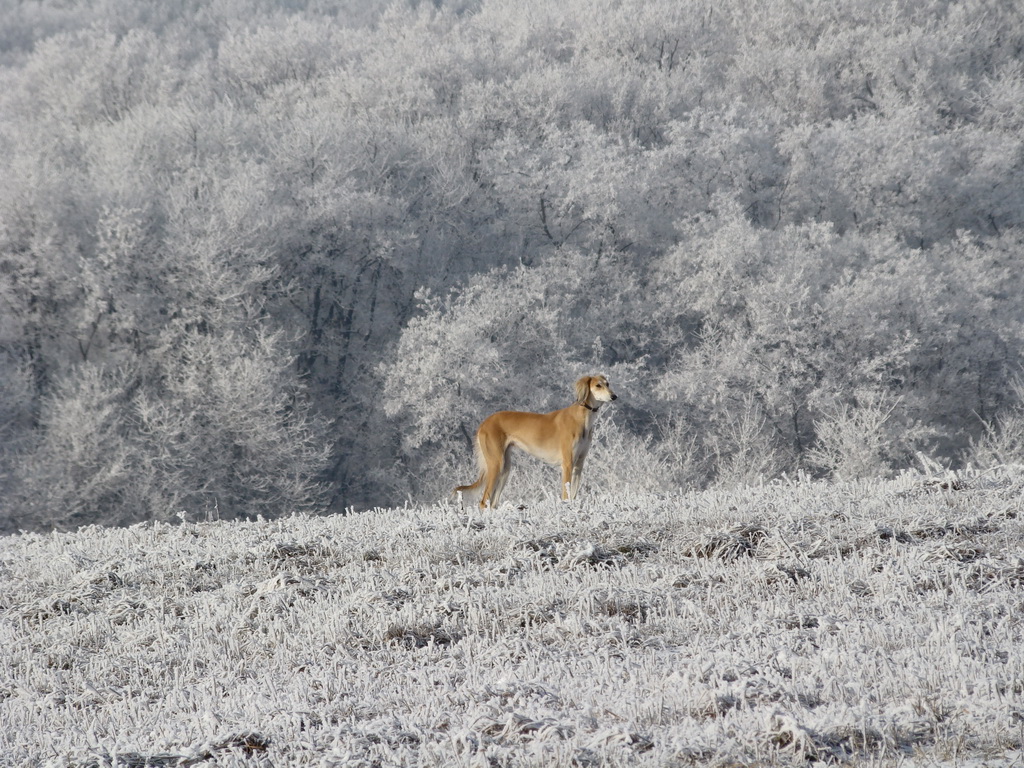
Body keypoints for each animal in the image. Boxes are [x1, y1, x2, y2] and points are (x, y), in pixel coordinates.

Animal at [456, 376, 614, 507]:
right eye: (598, 385)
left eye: (607, 383)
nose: (614, 396)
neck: (582, 419)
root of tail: (484, 423)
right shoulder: (568, 464)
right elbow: (566, 496)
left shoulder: (579, 464)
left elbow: (573, 496)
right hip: (496, 464)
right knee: (483, 502)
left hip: (505, 468)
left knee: (493, 503)